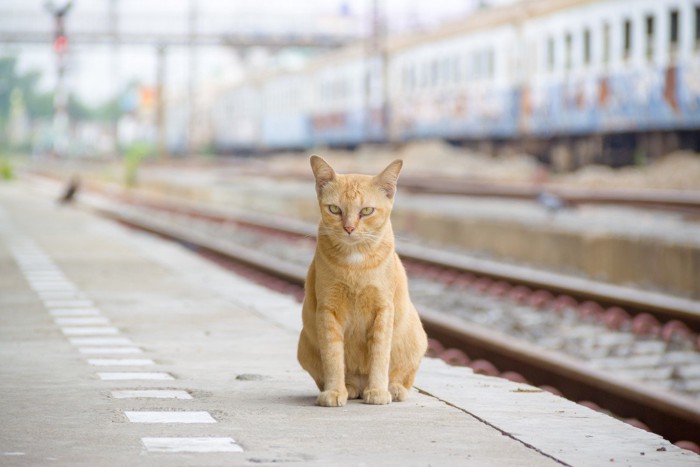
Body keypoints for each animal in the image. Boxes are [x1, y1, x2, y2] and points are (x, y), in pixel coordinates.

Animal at [296, 156, 426, 406]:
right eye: (334, 209)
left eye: (366, 211)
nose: (349, 228)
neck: (354, 261)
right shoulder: (328, 309)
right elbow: (333, 357)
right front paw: (334, 391)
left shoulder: (383, 308)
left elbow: (380, 355)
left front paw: (377, 391)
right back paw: (350, 388)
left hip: (417, 339)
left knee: (403, 376)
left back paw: (393, 388)